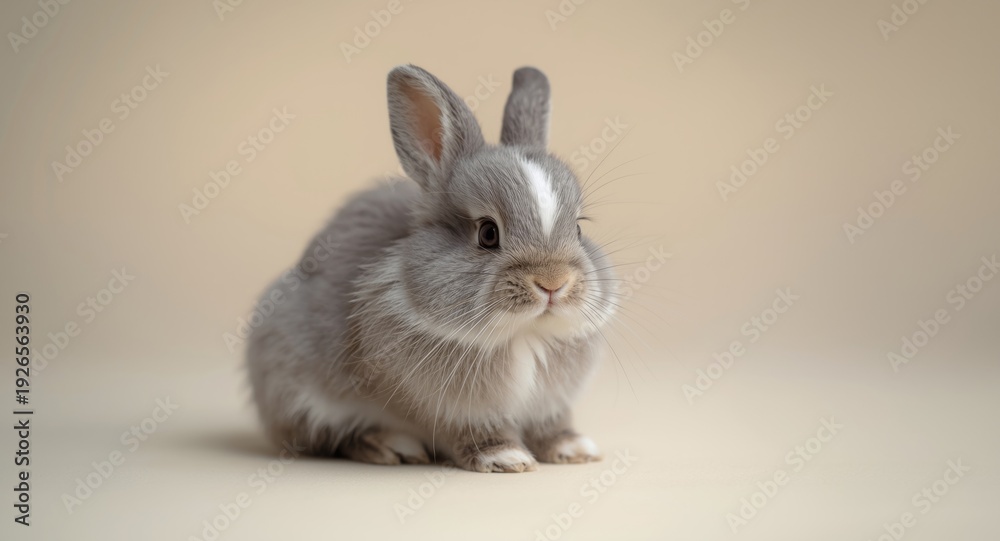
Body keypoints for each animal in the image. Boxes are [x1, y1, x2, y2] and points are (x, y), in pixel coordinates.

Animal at [245, 64, 617, 473]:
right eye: (488, 233)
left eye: (578, 229)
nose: (553, 283)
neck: (522, 334)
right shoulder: (450, 408)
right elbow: (473, 431)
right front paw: (505, 458)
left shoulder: (549, 405)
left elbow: (552, 424)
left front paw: (575, 449)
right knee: (330, 436)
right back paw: (392, 447)